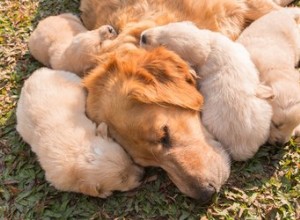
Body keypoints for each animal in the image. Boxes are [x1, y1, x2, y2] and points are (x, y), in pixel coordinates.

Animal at [15, 67, 144, 198]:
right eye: (123, 179)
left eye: (128, 159)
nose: (142, 175)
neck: (79, 152)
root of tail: (36, 73)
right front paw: (104, 193)